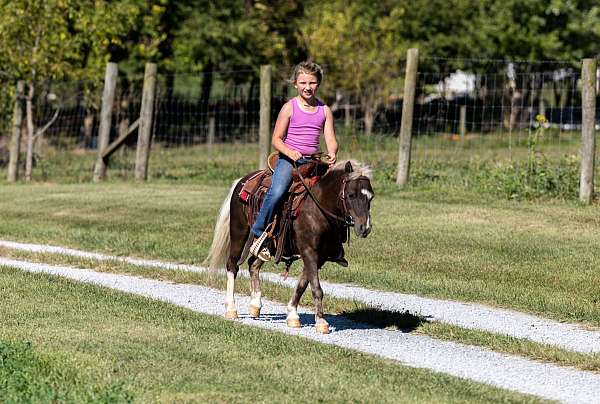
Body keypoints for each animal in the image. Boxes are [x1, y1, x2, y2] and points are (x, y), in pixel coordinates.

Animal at [206, 159, 376, 332]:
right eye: (351, 195)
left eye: (371, 197)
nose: (365, 228)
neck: (317, 208)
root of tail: (242, 181)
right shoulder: (309, 251)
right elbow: (316, 288)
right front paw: (321, 322)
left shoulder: (319, 256)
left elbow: (302, 284)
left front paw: (293, 315)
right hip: (239, 232)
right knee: (232, 266)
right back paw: (231, 308)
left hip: (268, 246)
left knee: (253, 264)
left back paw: (255, 305)